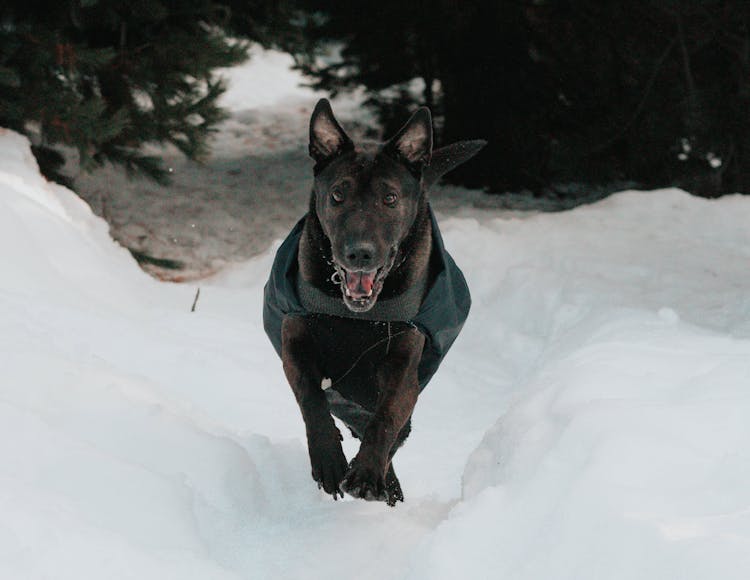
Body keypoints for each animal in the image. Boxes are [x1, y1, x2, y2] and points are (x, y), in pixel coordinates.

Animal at [264, 98, 488, 502]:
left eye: (390, 198)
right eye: (337, 195)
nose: (360, 253)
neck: (356, 315)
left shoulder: (403, 363)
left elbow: (386, 419)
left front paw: (367, 474)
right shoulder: (295, 341)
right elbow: (311, 398)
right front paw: (329, 460)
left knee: (394, 429)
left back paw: (385, 482)